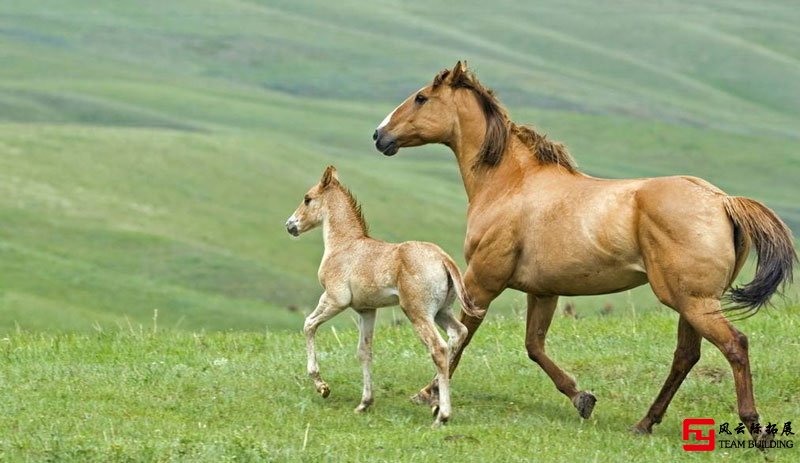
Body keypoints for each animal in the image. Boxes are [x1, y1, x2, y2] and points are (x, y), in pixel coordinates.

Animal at [284, 165, 478, 426]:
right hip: (442, 312)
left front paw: (322, 386)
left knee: (439, 348)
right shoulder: (366, 310)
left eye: (307, 198)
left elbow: (308, 325)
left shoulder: (334, 300)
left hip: (417, 313)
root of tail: (443, 258)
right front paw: (364, 403)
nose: (290, 225)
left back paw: (442, 415)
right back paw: (435, 403)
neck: (344, 245)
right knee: (459, 334)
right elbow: (364, 352)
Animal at [374, 62, 792, 442]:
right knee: (686, 356)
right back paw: (644, 424)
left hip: (693, 301)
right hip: (691, 302)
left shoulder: (481, 282)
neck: (509, 184)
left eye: (421, 97)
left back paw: (755, 428)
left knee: (734, 345)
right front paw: (582, 398)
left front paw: (428, 394)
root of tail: (722, 200)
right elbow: (534, 346)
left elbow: (461, 338)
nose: (379, 135)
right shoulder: (543, 291)